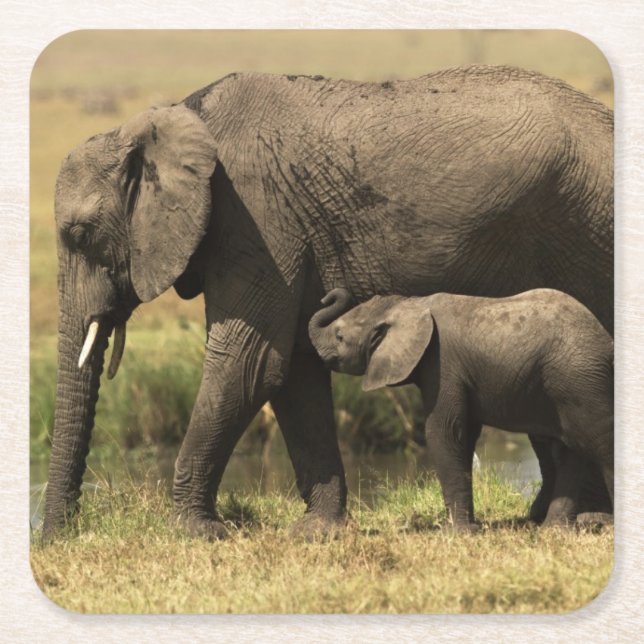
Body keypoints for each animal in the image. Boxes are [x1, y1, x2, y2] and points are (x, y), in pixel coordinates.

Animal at [308, 288, 614, 530]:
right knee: (567, 450)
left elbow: (443, 431)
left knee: (599, 443)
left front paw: (457, 533)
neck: (409, 304)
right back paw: (554, 530)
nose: (326, 296)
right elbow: (464, 435)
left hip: (579, 379)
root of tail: (605, 339)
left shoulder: (442, 362)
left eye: (339, 336)